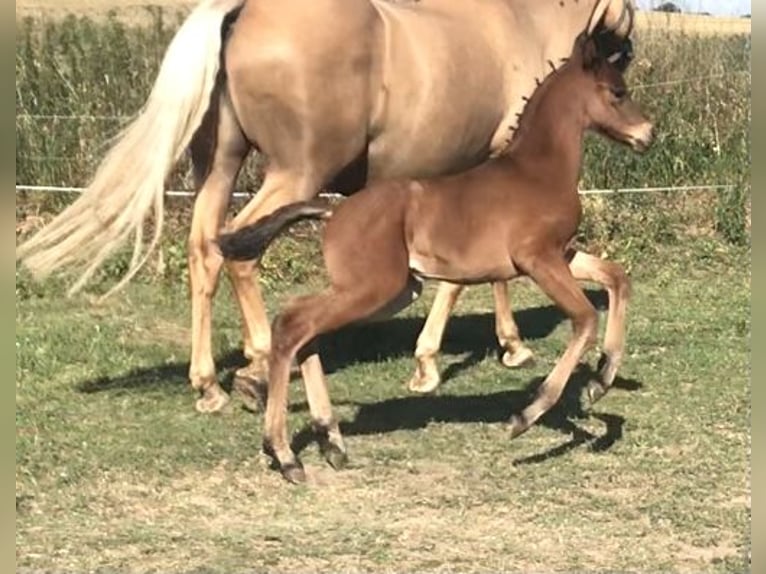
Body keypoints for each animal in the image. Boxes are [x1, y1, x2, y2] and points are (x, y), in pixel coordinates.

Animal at [16, 0, 636, 414]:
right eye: (619, 66)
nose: (641, 127)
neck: (518, 21)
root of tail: (238, 14)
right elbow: (473, 277)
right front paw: (477, 353)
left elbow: (467, 273)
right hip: (295, 174)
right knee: (241, 247)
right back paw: (258, 364)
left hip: (219, 167)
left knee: (205, 250)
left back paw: (209, 384)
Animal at [217, 32, 654, 483]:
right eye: (617, 92)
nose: (648, 133)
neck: (538, 171)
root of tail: (332, 211)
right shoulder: (537, 259)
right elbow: (584, 318)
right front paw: (527, 415)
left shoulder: (562, 254)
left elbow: (618, 278)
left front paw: (601, 378)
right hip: (374, 287)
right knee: (292, 324)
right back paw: (286, 454)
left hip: (389, 291)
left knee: (306, 331)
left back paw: (330, 441)